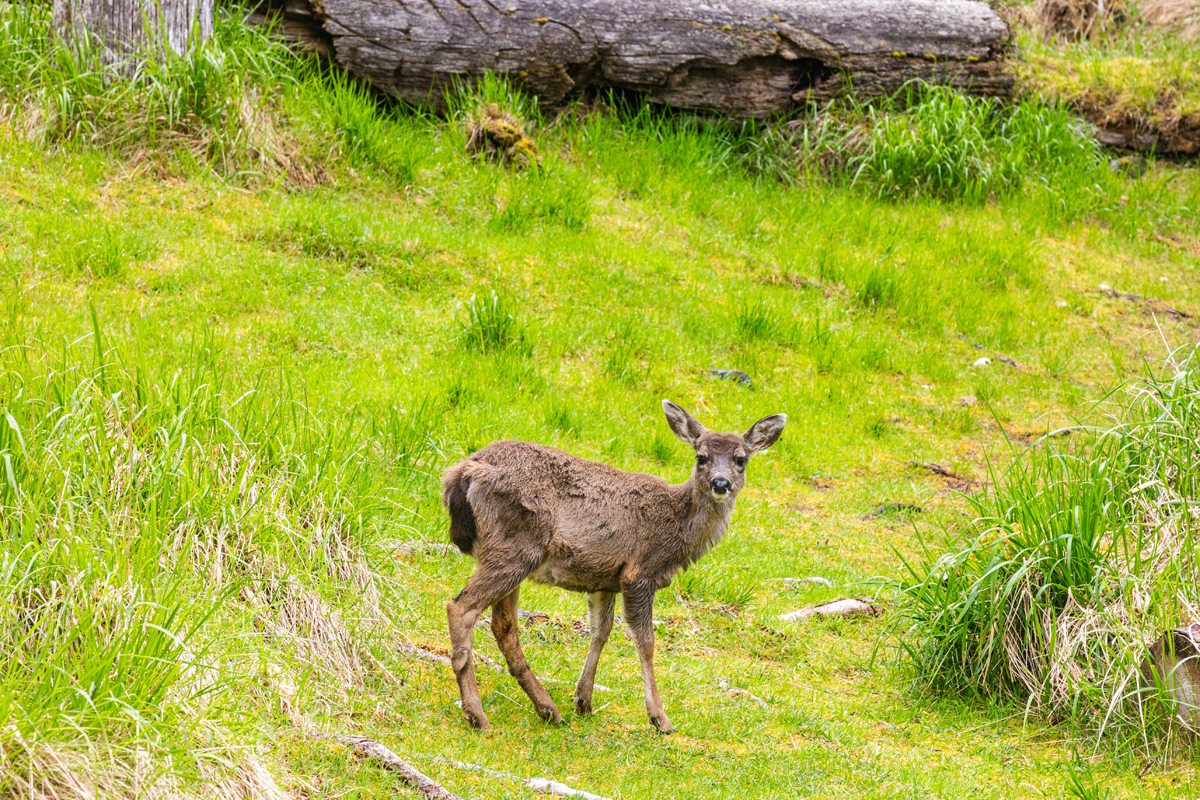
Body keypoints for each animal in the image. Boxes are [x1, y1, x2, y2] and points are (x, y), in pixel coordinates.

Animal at [441, 398, 787, 734]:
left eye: (741, 459)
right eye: (700, 456)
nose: (721, 482)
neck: (677, 527)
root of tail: (463, 471)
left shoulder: (605, 578)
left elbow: (600, 631)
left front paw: (583, 700)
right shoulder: (639, 573)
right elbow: (646, 642)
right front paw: (660, 718)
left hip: (507, 552)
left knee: (504, 625)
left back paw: (547, 709)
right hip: (516, 547)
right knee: (461, 607)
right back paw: (478, 716)